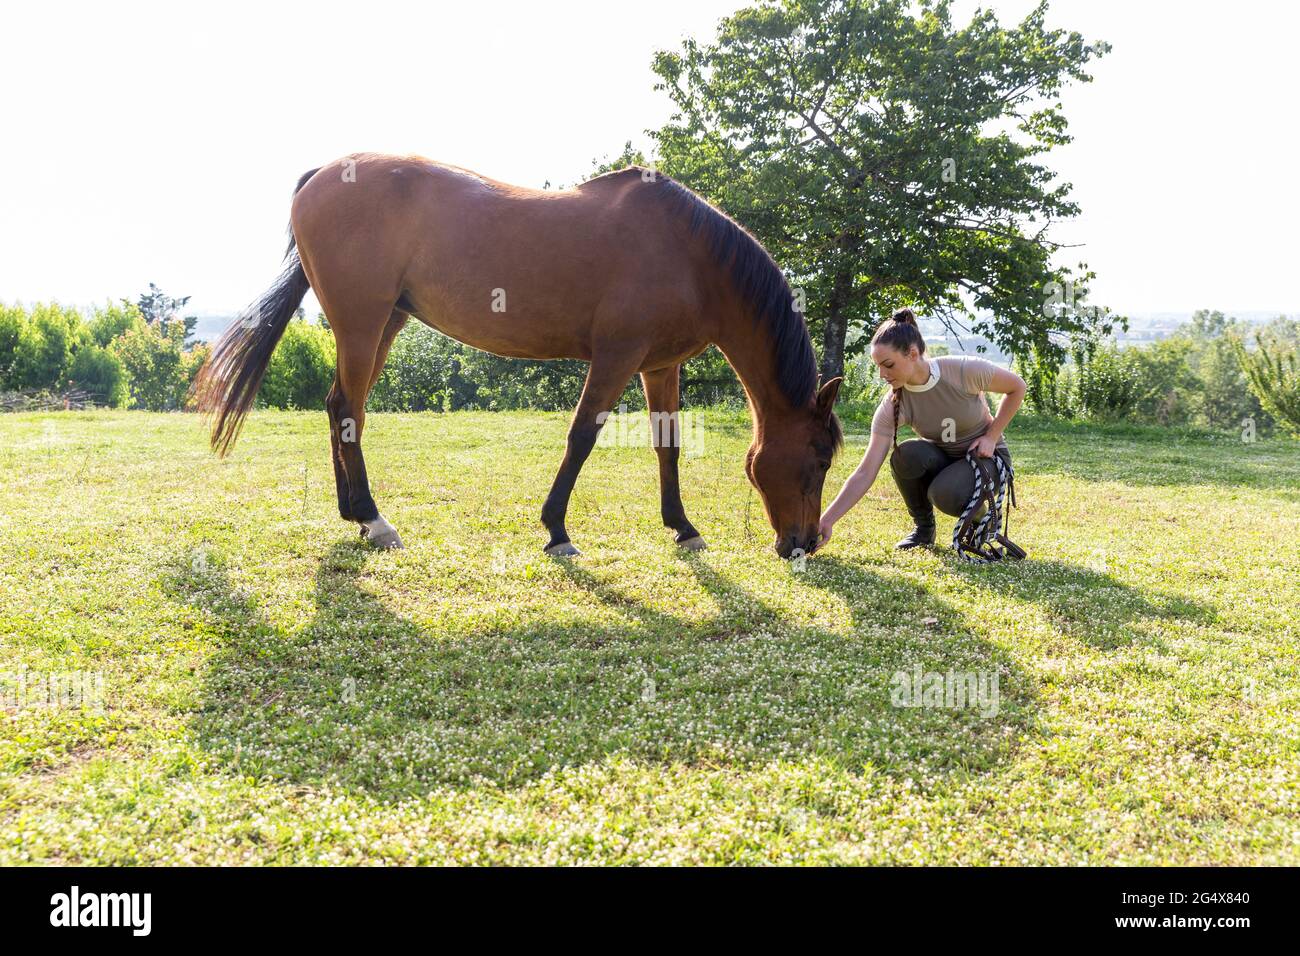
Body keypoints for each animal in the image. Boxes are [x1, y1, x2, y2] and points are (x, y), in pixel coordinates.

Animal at [192, 153, 842, 556]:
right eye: (817, 460)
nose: (806, 543)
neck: (688, 253)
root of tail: (323, 174)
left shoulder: (661, 364)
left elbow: (668, 444)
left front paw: (681, 526)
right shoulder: (617, 356)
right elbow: (582, 436)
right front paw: (557, 529)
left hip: (383, 324)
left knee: (340, 407)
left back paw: (353, 513)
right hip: (362, 322)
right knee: (348, 408)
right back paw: (373, 518)